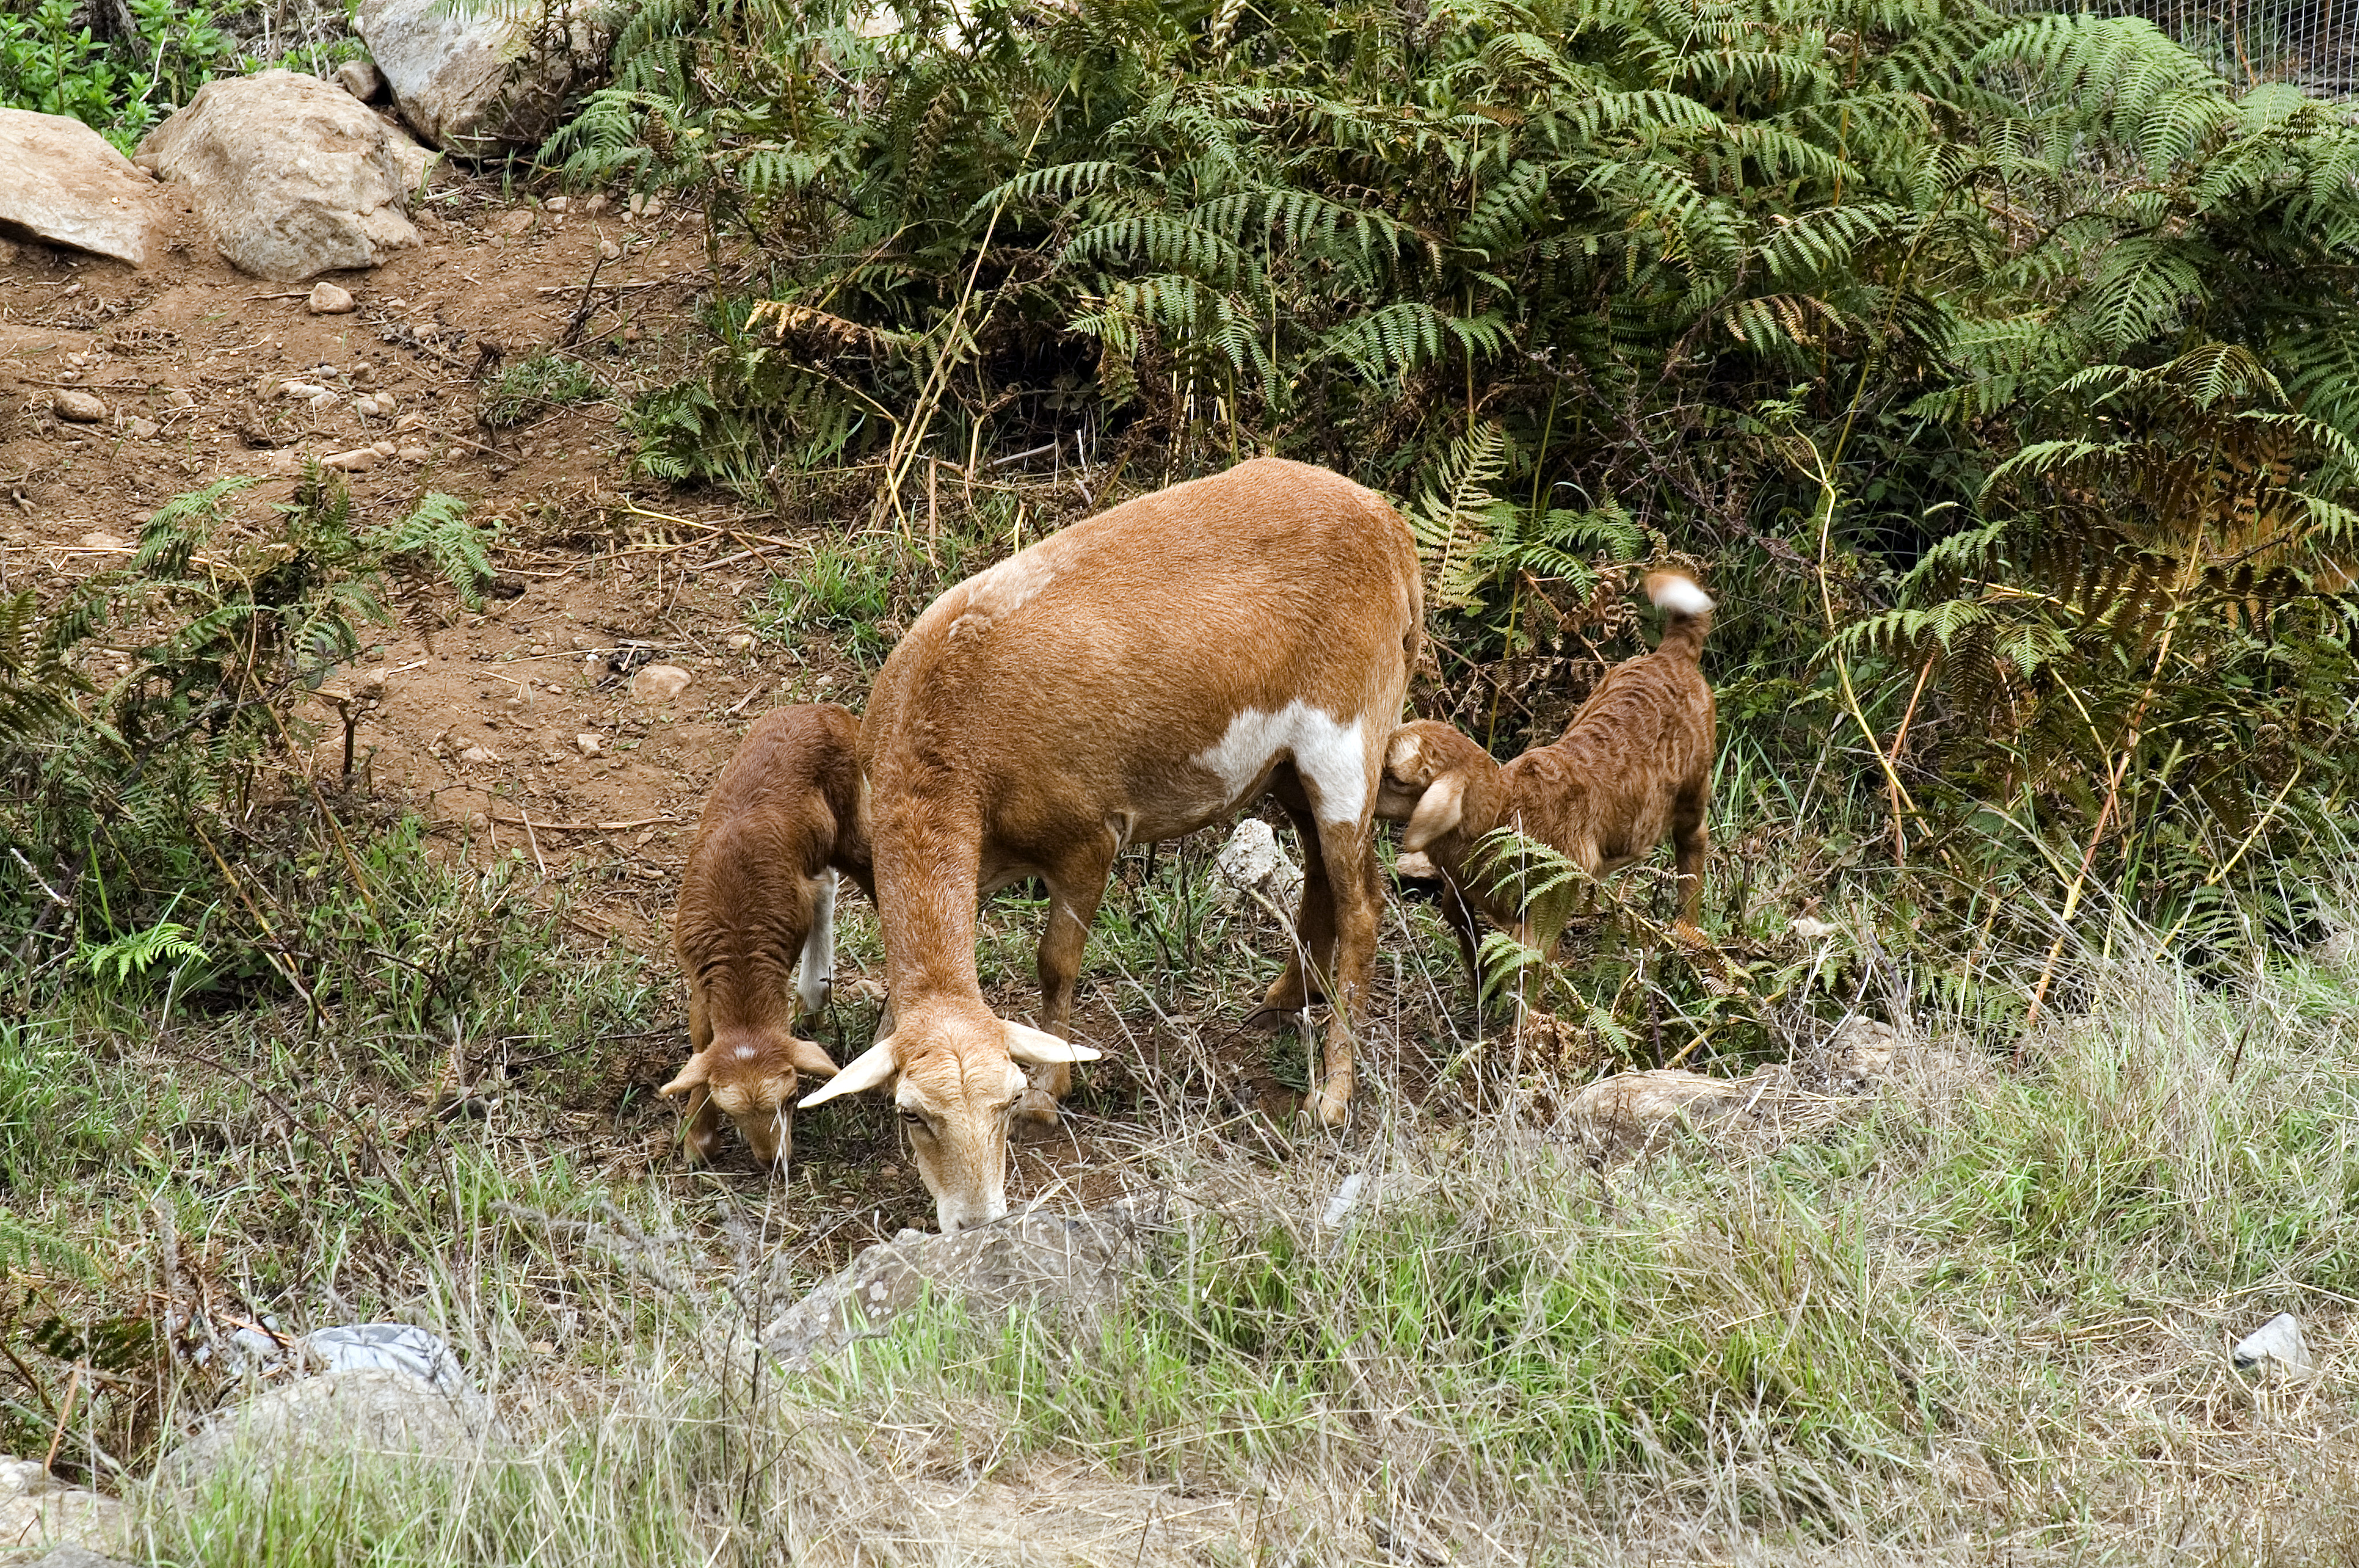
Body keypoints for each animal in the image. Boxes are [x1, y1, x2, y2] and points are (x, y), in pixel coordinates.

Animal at [665, 703, 877, 1169]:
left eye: (792, 1098)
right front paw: (698, 1138)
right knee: (827, 882)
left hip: (852, 814)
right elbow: (703, 1039)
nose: (771, 1160)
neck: (740, 941)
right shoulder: (698, 971)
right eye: (732, 1113)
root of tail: (830, 711)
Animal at [1378, 568, 1717, 994]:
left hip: (1694, 781)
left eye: (1396, 777)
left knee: (1693, 841)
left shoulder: (1547, 904)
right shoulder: (1462, 888)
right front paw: (1481, 989)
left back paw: (1689, 926)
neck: (1506, 809)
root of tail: (1672, 653)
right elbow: (1464, 926)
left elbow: (1529, 970)